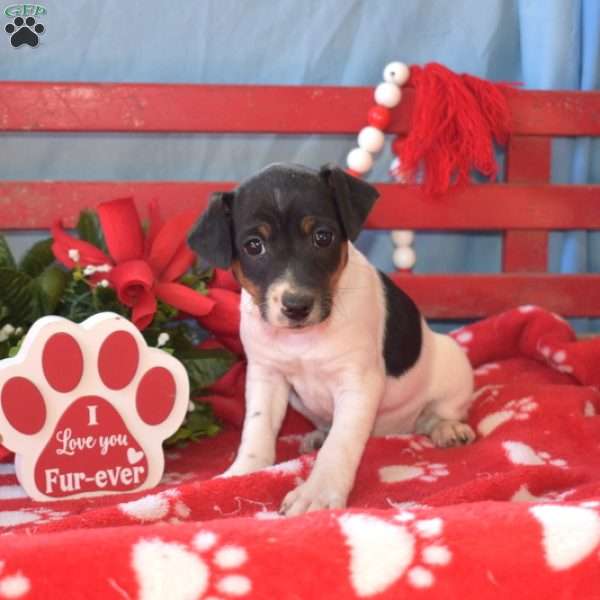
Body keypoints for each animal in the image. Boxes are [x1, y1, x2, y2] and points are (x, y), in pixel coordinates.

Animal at [188, 163, 474, 516]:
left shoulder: (357, 383)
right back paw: (318, 435)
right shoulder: (266, 376)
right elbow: (257, 429)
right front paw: (243, 471)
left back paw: (446, 427)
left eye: (322, 237)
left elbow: (341, 442)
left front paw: (319, 492)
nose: (296, 305)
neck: (303, 338)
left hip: (452, 365)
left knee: (437, 413)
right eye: (254, 245)